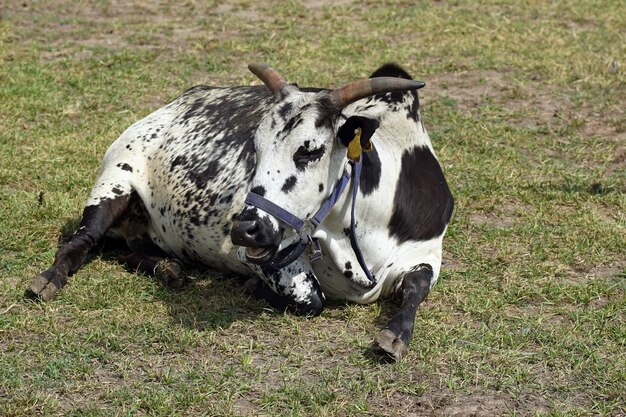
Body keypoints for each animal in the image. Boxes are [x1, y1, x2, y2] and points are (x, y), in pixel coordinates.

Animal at [29, 61, 450, 358]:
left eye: (310, 149)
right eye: (255, 147)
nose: (245, 228)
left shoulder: (426, 253)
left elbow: (416, 288)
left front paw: (395, 335)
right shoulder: (265, 258)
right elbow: (311, 299)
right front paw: (256, 288)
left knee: (126, 248)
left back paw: (166, 267)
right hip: (114, 183)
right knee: (84, 240)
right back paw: (48, 280)